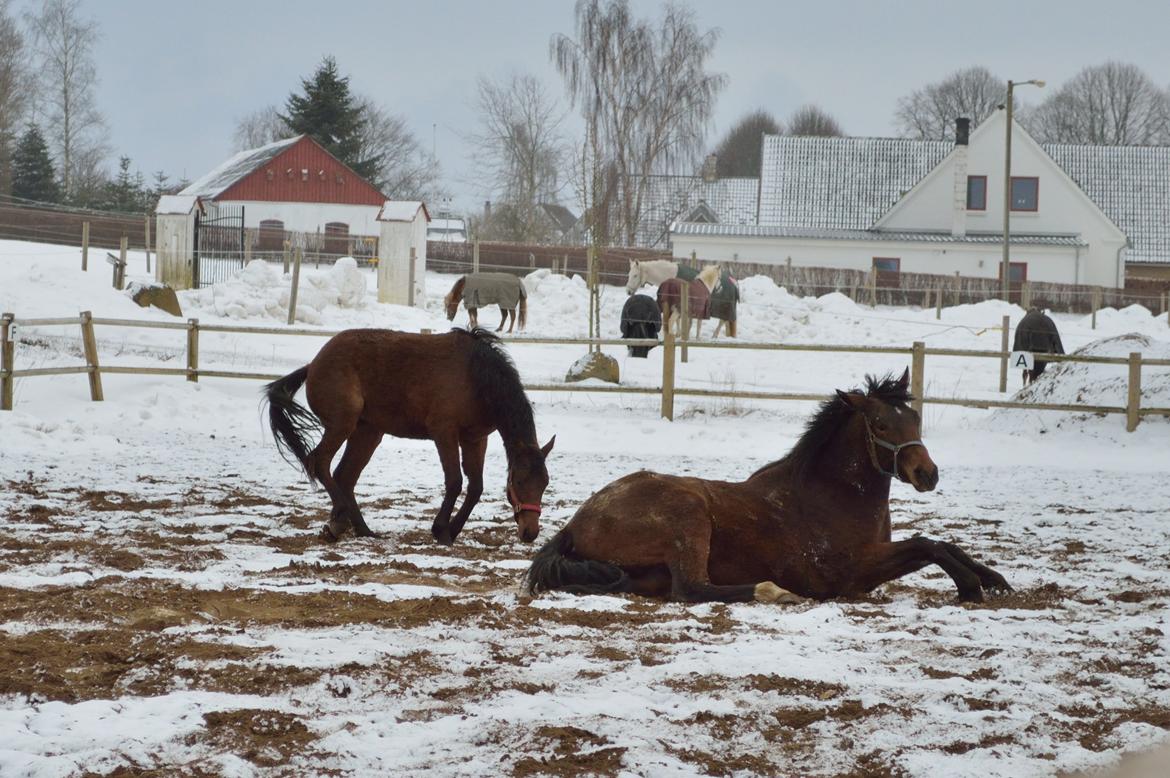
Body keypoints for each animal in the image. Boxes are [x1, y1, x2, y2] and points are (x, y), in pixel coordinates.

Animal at [266, 329, 556, 545]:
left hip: (368, 431)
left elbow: (475, 488)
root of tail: (313, 365)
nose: (530, 533)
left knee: (344, 476)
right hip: (342, 424)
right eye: (518, 481)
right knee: (320, 462)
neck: (476, 377)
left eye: (545, 483)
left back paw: (362, 530)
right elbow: (454, 481)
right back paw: (338, 520)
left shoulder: (475, 439)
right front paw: (441, 530)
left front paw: (453, 529)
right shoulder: (444, 432)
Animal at [526, 372, 1010, 608]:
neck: (830, 496)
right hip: (688, 518)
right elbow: (929, 544)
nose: (928, 473)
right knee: (691, 589)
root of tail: (576, 522)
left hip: (647, 569)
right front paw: (971, 586)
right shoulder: (852, 572)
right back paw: (774, 592)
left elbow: (939, 543)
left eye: (913, 417)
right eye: (880, 423)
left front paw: (994, 580)